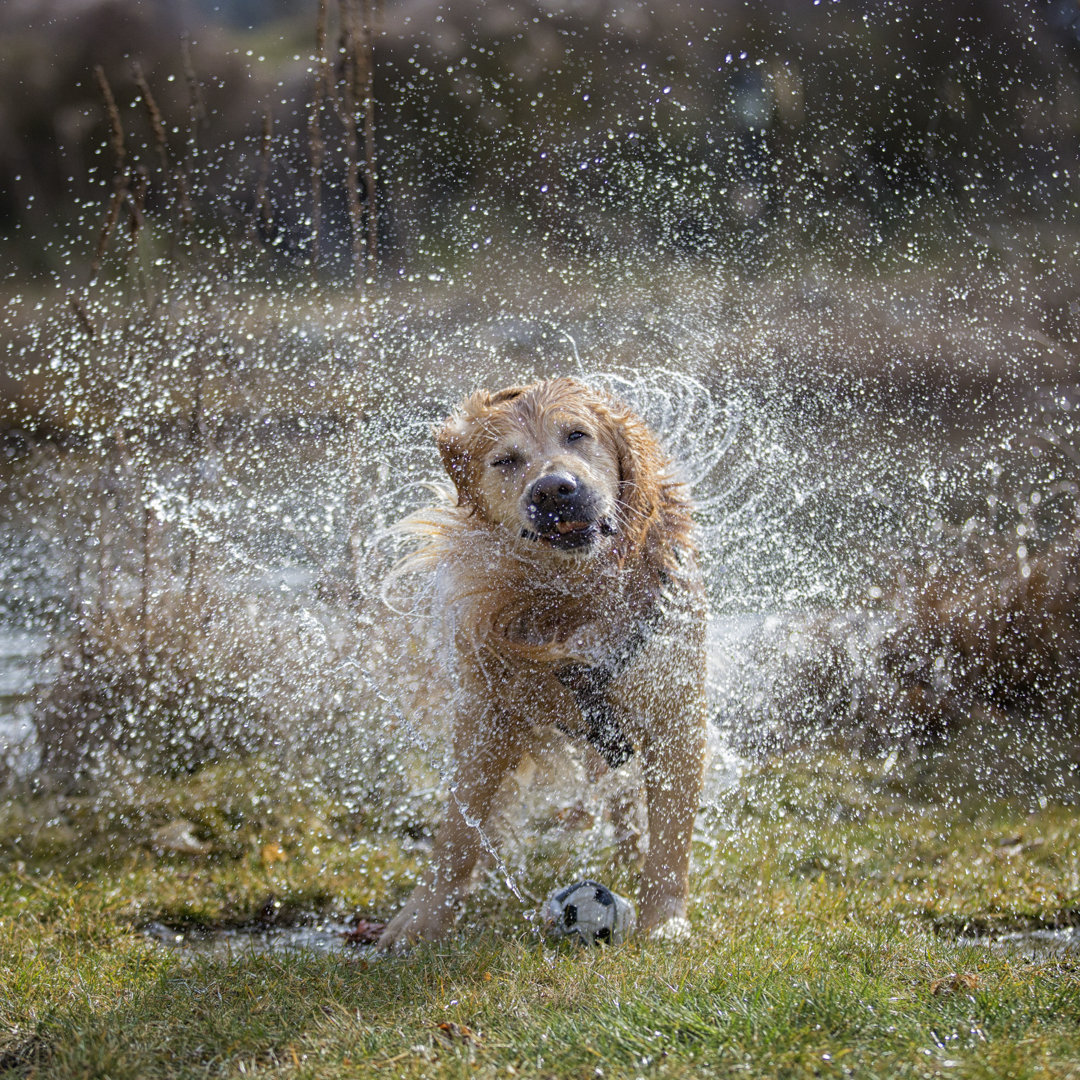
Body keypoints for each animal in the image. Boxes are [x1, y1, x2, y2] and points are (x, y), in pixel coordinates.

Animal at [380, 378, 708, 946]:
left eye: (577, 434)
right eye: (505, 460)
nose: (553, 488)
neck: (577, 596)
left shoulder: (675, 713)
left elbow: (671, 843)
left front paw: (664, 921)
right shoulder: (486, 718)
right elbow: (457, 835)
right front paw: (421, 919)